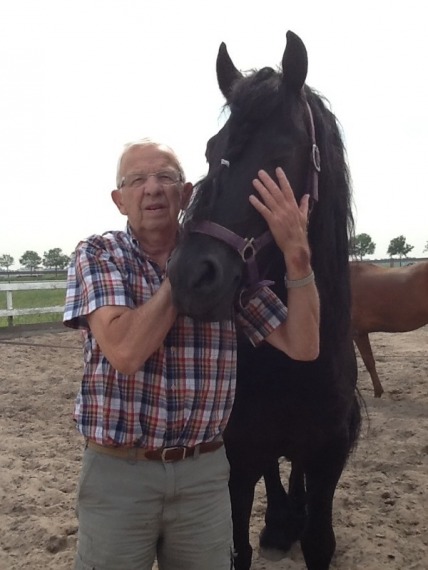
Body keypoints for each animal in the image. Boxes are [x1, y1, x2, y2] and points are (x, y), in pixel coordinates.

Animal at [168, 31, 361, 570]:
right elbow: (237, 547)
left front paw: (301, 526)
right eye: (211, 150)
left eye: (281, 151)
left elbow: (320, 542)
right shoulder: (237, 459)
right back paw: (279, 522)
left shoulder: (327, 456)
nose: (191, 275)